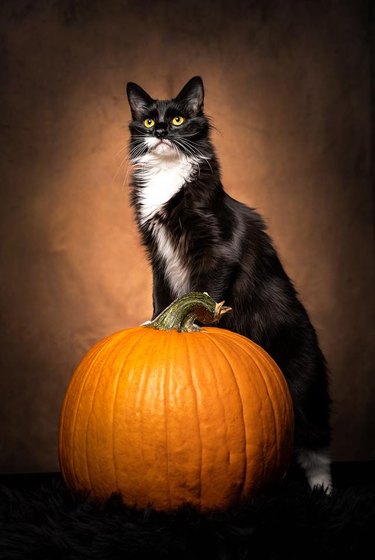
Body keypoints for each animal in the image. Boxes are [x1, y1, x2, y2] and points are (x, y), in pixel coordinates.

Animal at [128, 75, 334, 490]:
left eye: (177, 120)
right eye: (148, 121)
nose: (160, 131)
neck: (167, 175)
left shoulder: (219, 250)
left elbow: (206, 293)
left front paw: (192, 323)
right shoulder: (157, 258)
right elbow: (161, 296)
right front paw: (156, 323)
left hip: (304, 381)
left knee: (316, 440)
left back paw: (323, 488)